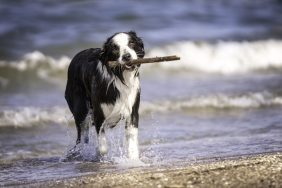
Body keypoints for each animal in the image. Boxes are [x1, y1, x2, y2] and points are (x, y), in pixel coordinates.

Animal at [64, 30, 144, 159]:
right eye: (115, 48)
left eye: (131, 43)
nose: (127, 56)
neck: (120, 77)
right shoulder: (99, 114)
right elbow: (103, 147)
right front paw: (99, 153)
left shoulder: (132, 110)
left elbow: (131, 137)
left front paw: (133, 159)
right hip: (81, 110)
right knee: (81, 136)